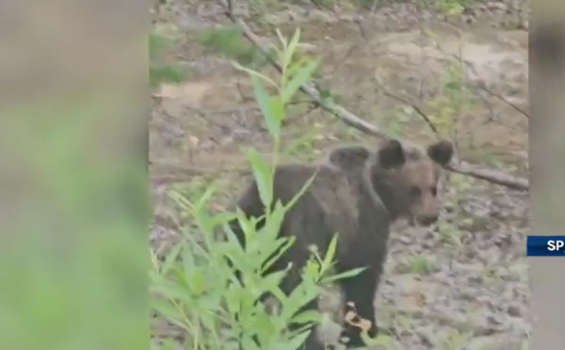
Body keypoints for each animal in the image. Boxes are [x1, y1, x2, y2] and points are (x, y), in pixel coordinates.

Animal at [227, 138, 452, 348]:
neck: (381, 197)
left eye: (433, 188)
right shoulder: (362, 232)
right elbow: (362, 283)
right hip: (301, 238)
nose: (430, 216)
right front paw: (363, 332)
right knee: (301, 294)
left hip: (242, 231)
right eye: (414, 189)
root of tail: (269, 203)